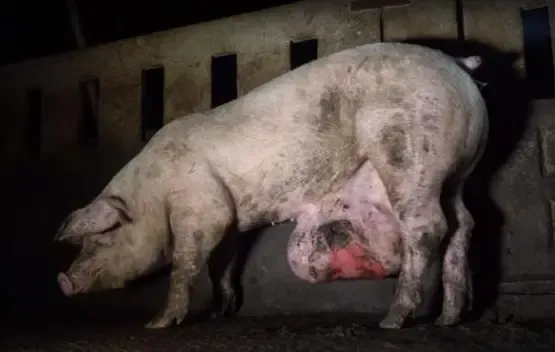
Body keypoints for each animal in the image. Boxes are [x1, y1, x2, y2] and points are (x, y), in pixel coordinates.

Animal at [52, 42, 486, 330]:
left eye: (101, 237)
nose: (63, 281)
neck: (151, 194)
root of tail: (456, 63)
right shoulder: (230, 220)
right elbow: (222, 264)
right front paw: (219, 313)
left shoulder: (202, 204)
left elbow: (185, 261)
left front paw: (157, 324)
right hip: (457, 170)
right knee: (463, 223)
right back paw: (449, 319)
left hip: (409, 149)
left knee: (427, 226)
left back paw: (393, 320)